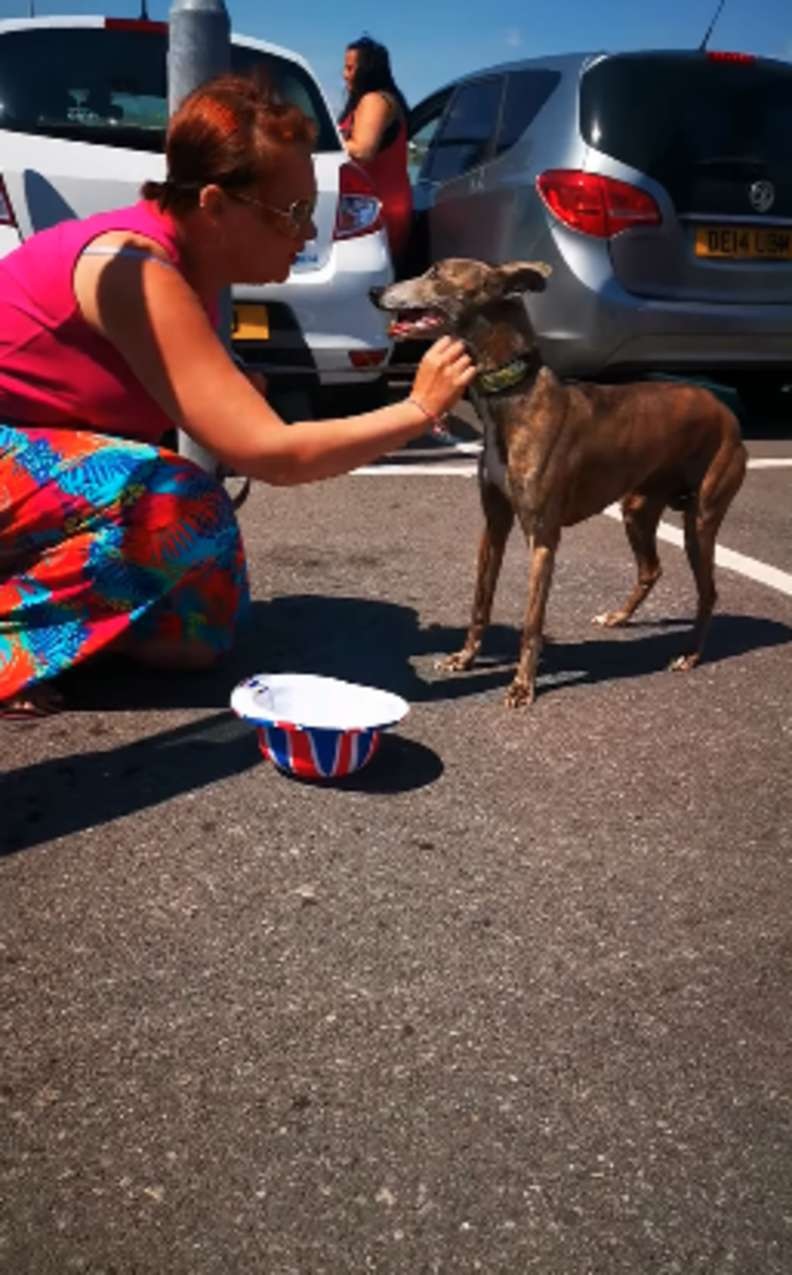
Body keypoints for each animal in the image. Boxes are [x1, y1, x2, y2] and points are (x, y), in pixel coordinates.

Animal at [374, 261, 744, 708]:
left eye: (437, 273)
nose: (375, 291)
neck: (512, 396)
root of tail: (725, 410)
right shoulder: (494, 525)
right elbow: (480, 603)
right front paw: (464, 658)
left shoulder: (543, 537)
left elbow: (532, 623)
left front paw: (522, 686)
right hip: (637, 509)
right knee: (650, 569)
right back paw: (618, 617)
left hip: (700, 522)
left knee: (708, 591)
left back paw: (689, 654)